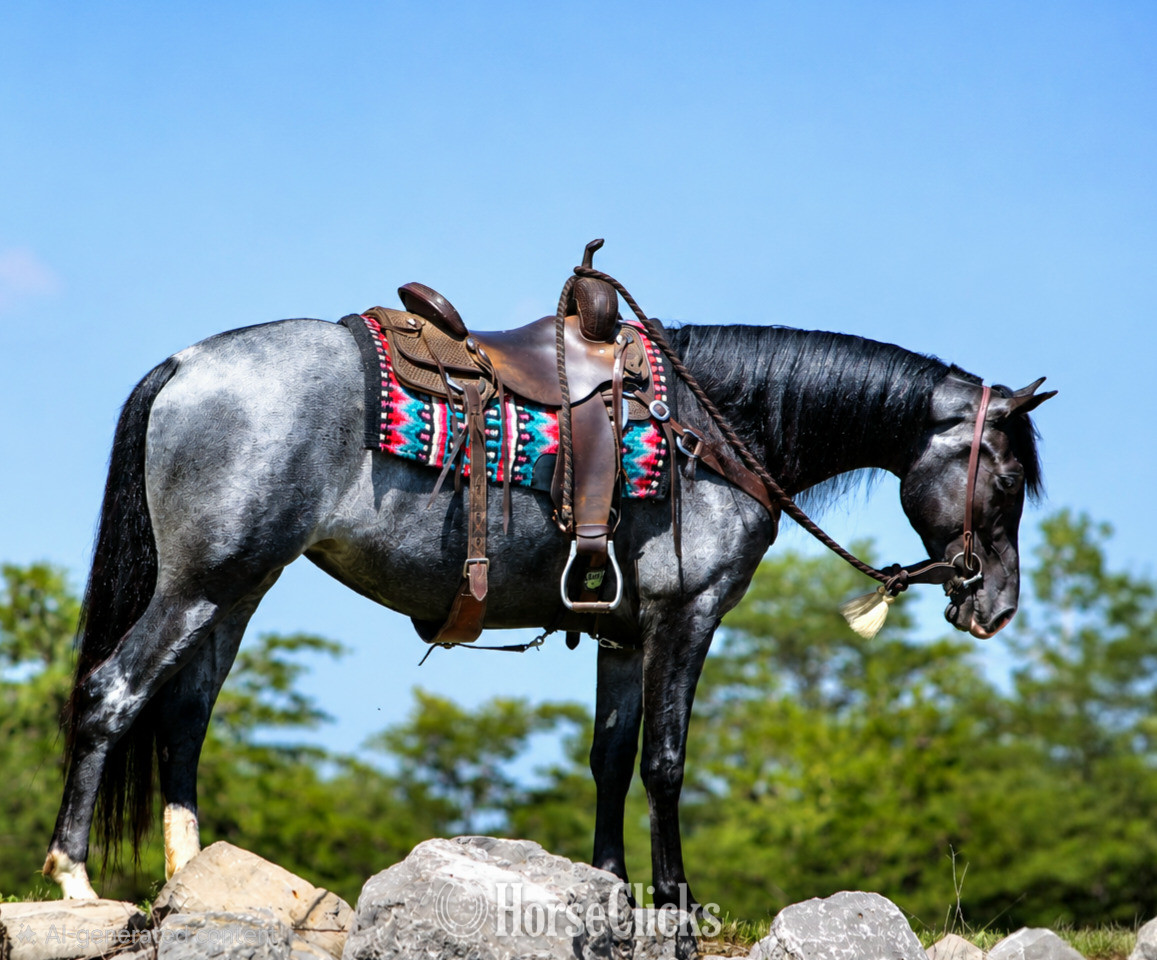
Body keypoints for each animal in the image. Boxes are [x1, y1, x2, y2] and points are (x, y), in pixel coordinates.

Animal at [43, 314, 1052, 903]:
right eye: (1005, 480)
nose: (995, 607)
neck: (713, 427)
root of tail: (186, 364)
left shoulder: (622, 636)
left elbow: (609, 760)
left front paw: (613, 890)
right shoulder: (687, 620)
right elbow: (665, 764)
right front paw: (675, 905)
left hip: (237, 588)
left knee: (183, 716)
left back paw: (189, 880)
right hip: (201, 584)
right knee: (112, 695)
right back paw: (74, 879)